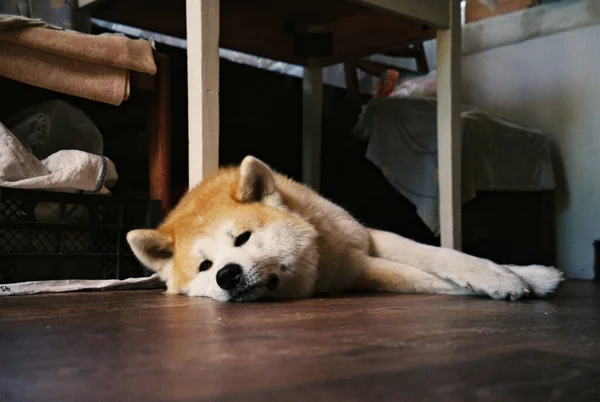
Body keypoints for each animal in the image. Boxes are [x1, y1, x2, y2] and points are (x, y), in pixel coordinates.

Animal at [126, 156, 564, 302]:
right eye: (205, 267)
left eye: (243, 238)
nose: (226, 274)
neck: (325, 249)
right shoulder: (359, 270)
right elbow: (429, 277)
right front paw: (521, 279)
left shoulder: (368, 237)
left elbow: (440, 255)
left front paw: (518, 273)